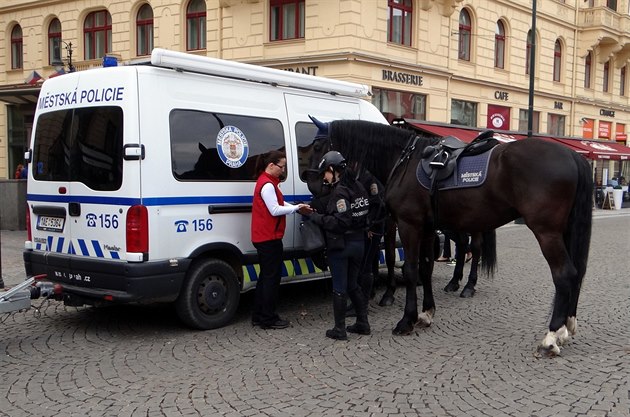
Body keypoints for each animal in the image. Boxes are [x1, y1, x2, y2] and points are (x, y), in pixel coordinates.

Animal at [308, 118, 596, 358]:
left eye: (317, 145)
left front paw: (406, 320)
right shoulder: (426, 229)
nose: (312, 184)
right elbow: (425, 269)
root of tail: (573, 155)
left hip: (546, 232)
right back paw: (566, 328)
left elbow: (411, 271)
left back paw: (551, 336)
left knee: (564, 275)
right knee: (577, 274)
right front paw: (426, 313)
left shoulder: (409, 225)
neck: (403, 161)